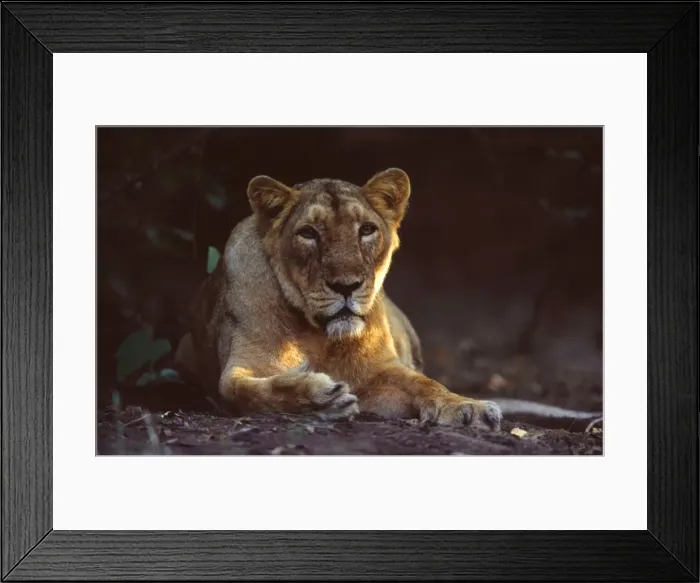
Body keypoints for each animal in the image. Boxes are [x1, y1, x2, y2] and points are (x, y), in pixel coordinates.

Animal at [174, 168, 502, 429]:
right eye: (308, 233)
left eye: (366, 230)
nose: (346, 286)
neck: (320, 336)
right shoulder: (238, 370)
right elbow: (249, 392)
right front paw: (320, 398)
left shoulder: (383, 369)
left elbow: (425, 383)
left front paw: (468, 407)